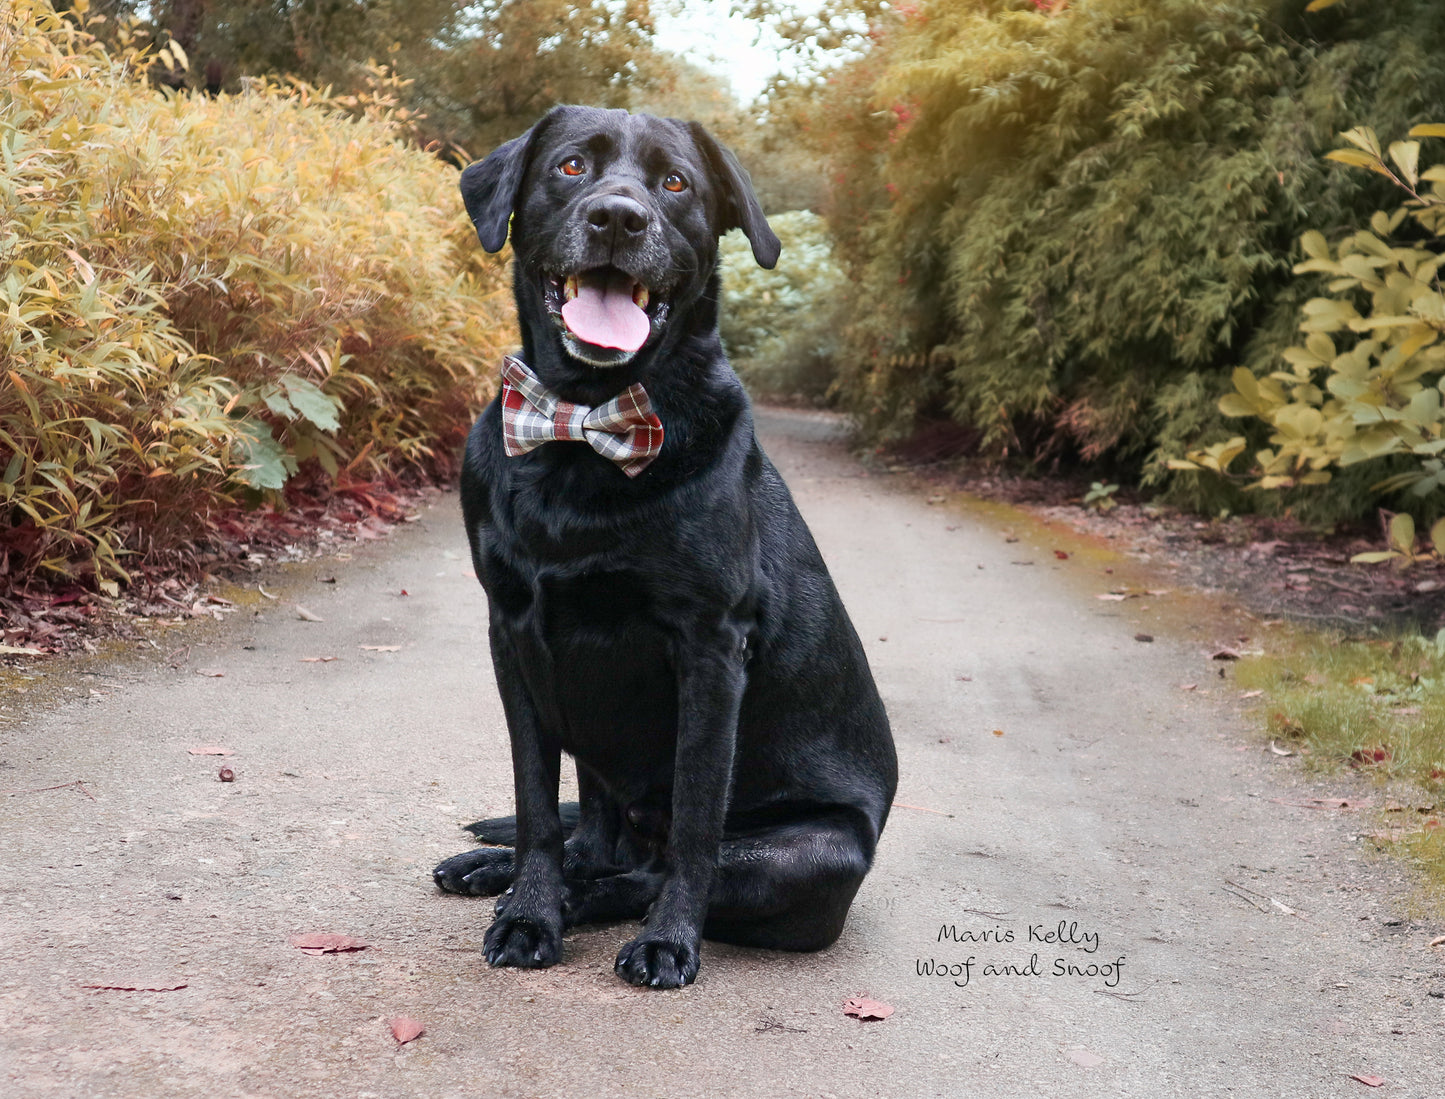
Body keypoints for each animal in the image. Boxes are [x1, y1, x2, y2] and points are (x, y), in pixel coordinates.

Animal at [433, 106, 895, 987]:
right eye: (571, 166)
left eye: (675, 183)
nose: (619, 218)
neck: (585, 423)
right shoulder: (511, 632)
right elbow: (536, 802)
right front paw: (529, 909)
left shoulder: (708, 647)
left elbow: (694, 827)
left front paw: (664, 939)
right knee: (592, 839)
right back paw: (503, 871)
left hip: (813, 851)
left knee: (644, 868)